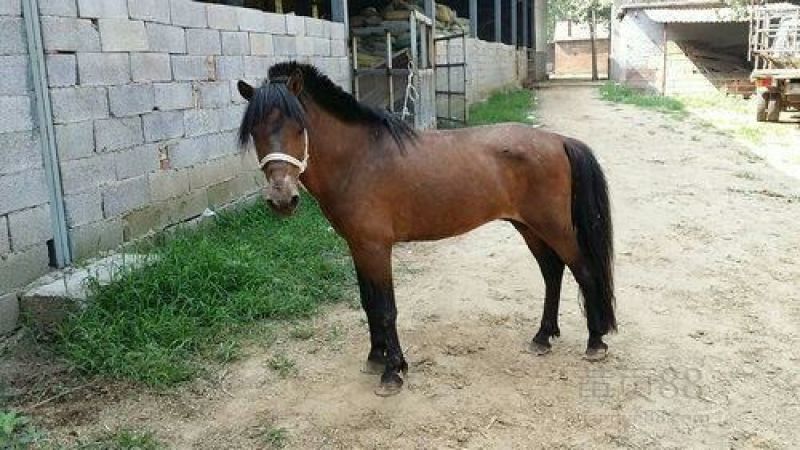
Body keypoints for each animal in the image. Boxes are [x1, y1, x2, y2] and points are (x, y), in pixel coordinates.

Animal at [236, 62, 616, 397]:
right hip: (528, 227)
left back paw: (595, 342)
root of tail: (558, 140)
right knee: (552, 272)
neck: (359, 159)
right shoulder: (358, 247)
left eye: (299, 127)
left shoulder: (376, 247)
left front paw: (393, 372)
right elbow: (368, 303)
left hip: (553, 227)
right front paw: (376, 358)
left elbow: (386, 308)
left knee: (583, 271)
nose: (282, 199)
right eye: (255, 131)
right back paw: (542, 337)